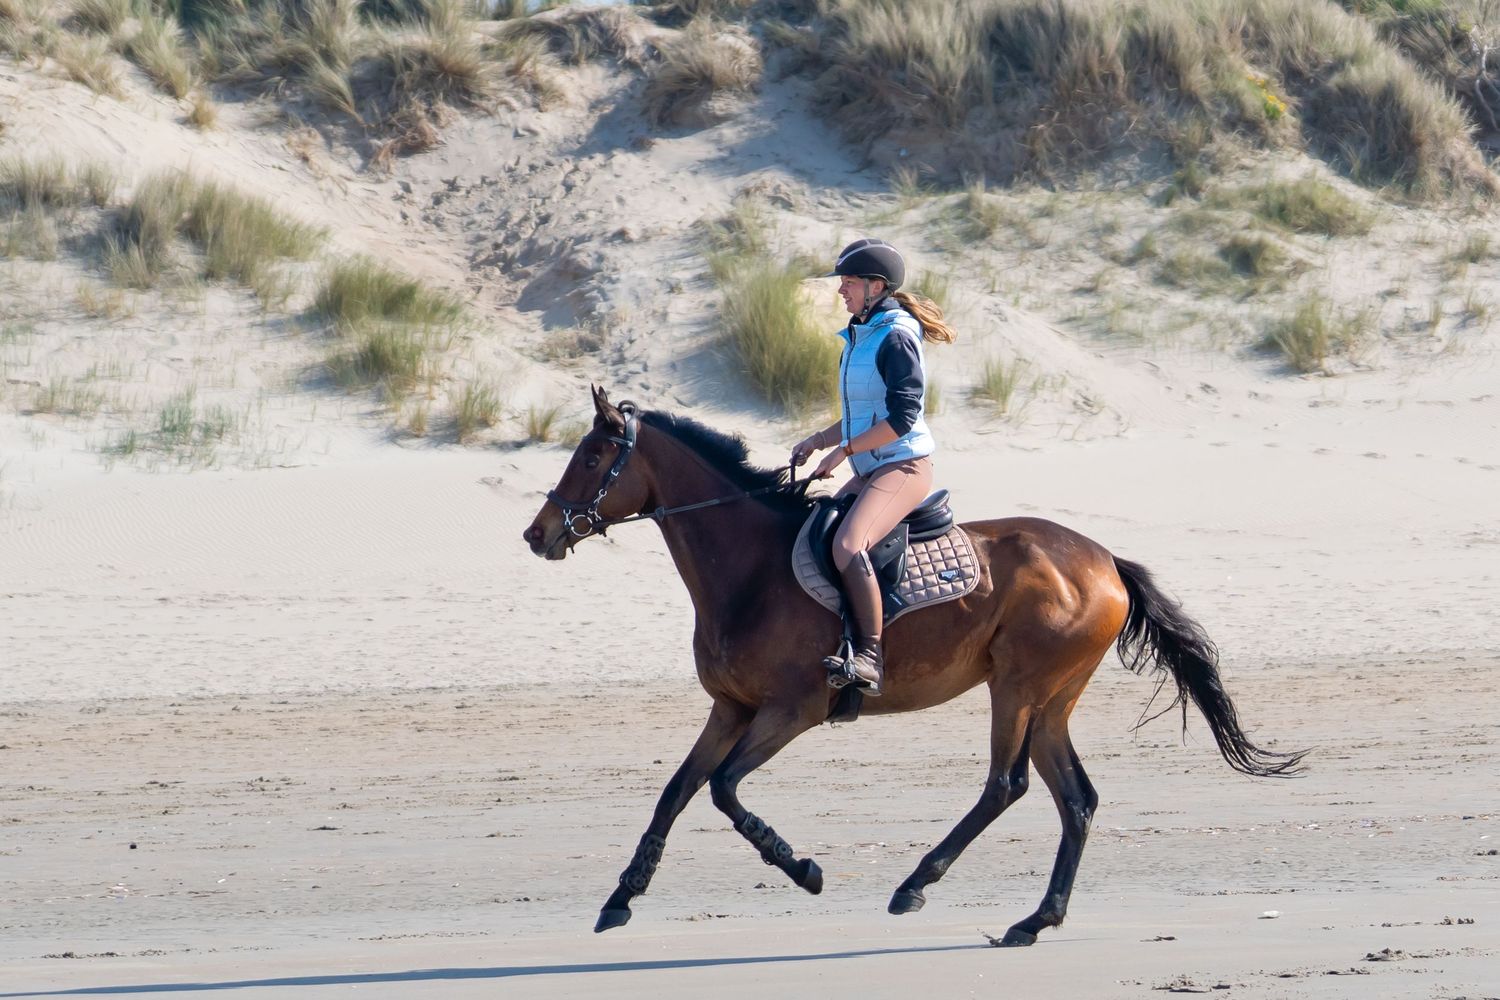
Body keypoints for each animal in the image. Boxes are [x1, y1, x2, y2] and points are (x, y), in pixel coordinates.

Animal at [523, 386, 1304, 946]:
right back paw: (1033, 921)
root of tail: (1105, 559)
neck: (749, 569)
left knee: (1007, 784)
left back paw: (916, 885)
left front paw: (804, 869)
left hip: (1018, 688)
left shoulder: (792, 711)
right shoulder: (731, 708)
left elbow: (722, 790)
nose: (537, 534)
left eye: (591, 458)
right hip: (1051, 699)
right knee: (1076, 799)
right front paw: (620, 898)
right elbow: (676, 792)